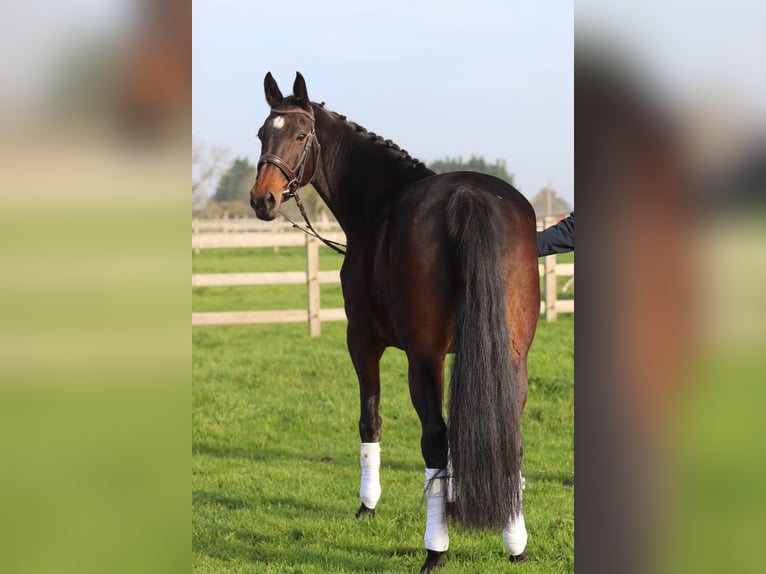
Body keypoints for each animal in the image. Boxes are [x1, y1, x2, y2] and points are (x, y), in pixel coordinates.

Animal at [250, 71, 540, 572]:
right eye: (262, 134)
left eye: (301, 136)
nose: (262, 199)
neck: (379, 204)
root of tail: (469, 198)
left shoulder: (362, 341)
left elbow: (370, 419)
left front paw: (367, 505)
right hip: (511, 354)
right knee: (510, 438)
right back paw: (514, 544)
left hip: (422, 358)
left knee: (435, 440)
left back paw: (435, 550)